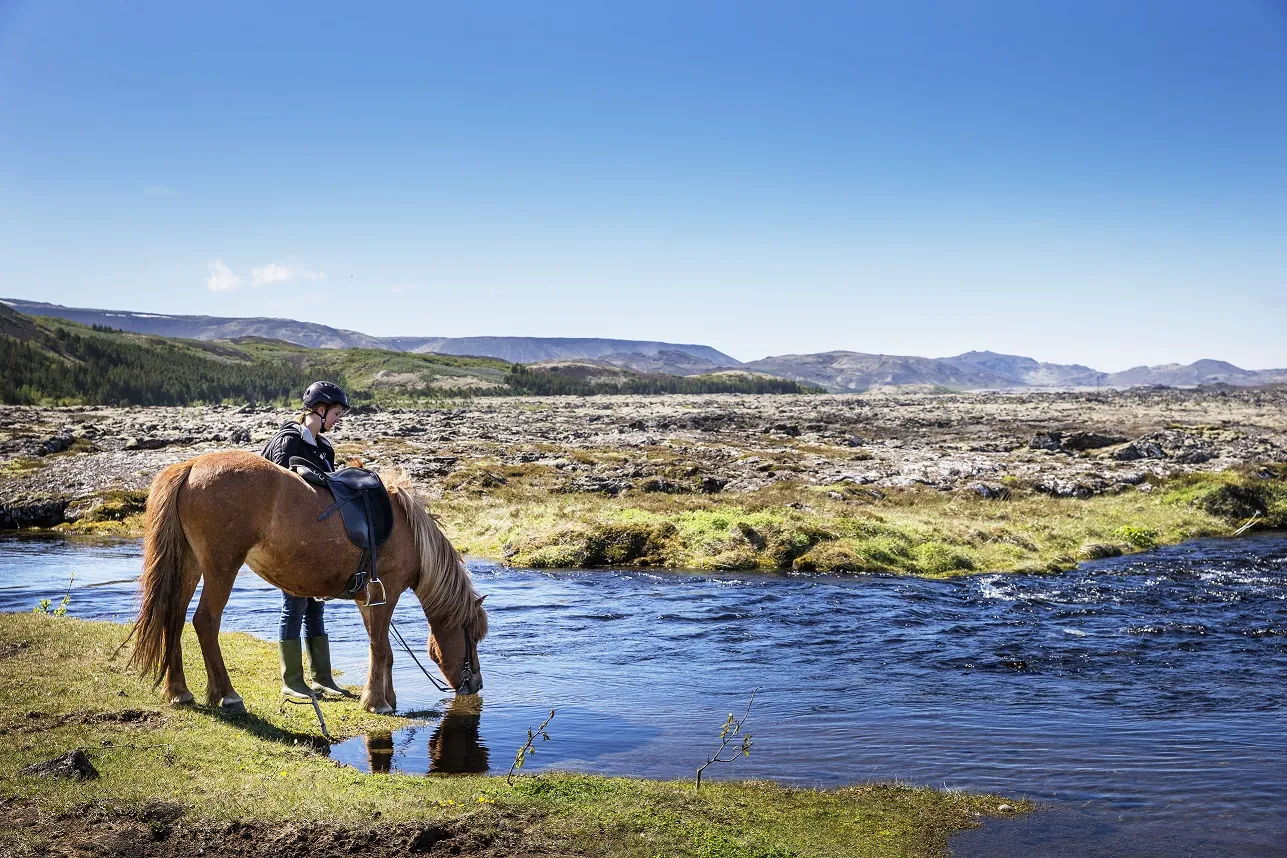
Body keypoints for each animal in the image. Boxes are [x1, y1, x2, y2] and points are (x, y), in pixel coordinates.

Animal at [128, 452, 486, 715]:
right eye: (471, 635)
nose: (477, 685)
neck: (408, 532)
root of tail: (190, 467)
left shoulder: (368, 600)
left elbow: (382, 649)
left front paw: (387, 697)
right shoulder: (386, 592)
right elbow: (381, 648)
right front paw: (378, 702)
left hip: (189, 565)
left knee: (173, 618)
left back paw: (179, 691)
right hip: (221, 567)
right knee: (205, 621)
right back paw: (227, 694)